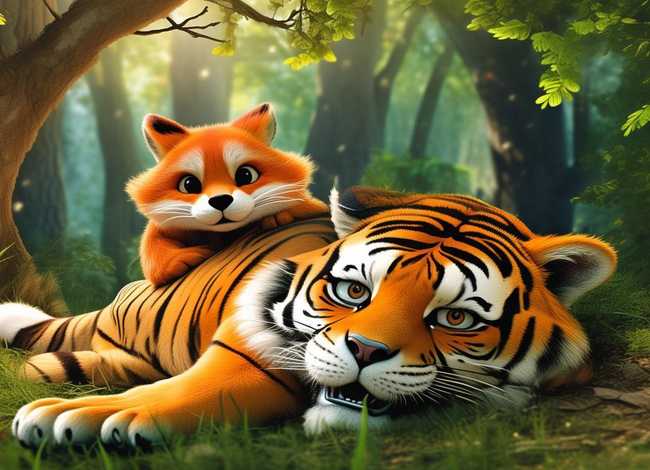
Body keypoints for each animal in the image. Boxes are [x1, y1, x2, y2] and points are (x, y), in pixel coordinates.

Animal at [0, 186, 616, 448]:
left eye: (456, 319)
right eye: (353, 290)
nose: (365, 350)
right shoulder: (244, 354)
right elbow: (187, 390)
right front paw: (74, 415)